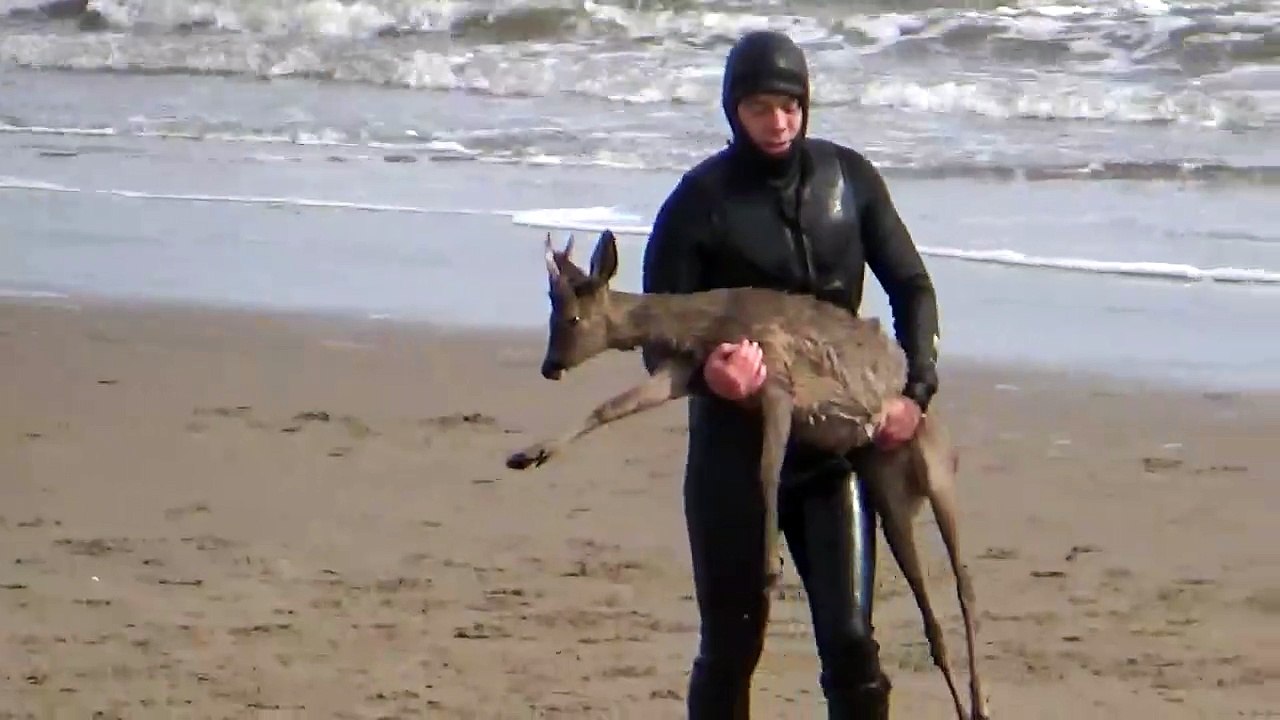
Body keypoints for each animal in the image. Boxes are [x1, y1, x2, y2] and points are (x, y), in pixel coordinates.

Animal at [504, 229, 990, 720]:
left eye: (572, 318)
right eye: (552, 314)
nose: (549, 366)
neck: (701, 328)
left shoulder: (776, 377)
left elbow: (767, 471)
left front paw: (771, 570)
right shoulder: (686, 371)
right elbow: (611, 406)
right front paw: (529, 454)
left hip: (937, 469)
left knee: (966, 584)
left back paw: (980, 702)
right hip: (889, 492)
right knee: (930, 609)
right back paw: (965, 704)